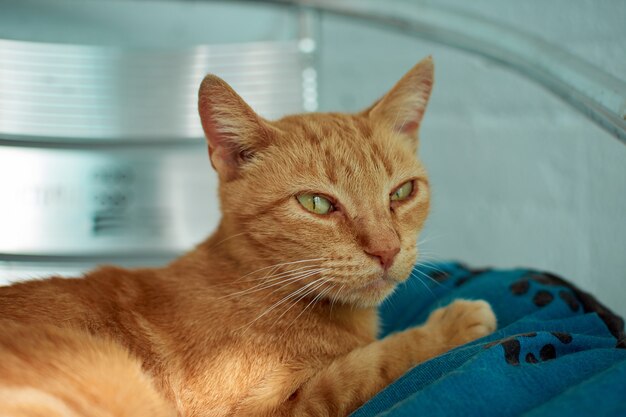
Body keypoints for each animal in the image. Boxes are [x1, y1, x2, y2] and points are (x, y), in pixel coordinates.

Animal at [1, 56, 492, 416]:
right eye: (316, 203)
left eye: (402, 192)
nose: (387, 250)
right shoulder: (264, 411)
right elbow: (364, 369)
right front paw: (447, 327)